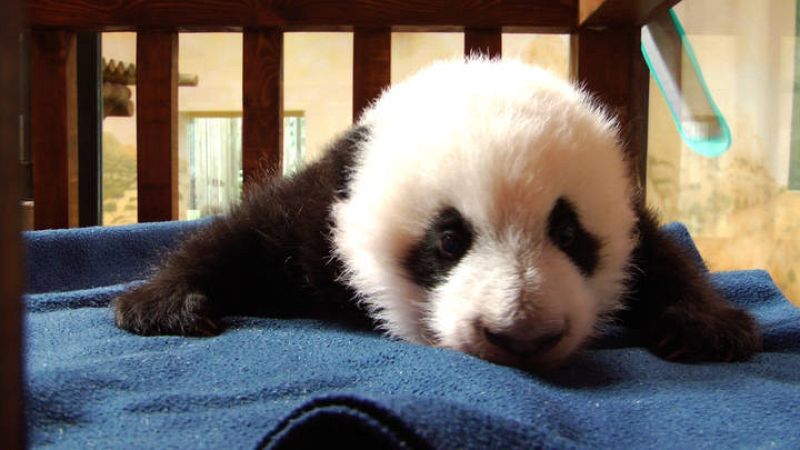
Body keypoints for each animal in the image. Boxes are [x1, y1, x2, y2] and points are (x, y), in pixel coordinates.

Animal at [113, 58, 761, 369]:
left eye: (568, 232)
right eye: (449, 240)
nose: (523, 335)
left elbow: (661, 254)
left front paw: (703, 328)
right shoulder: (326, 203)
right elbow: (247, 235)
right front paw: (167, 305)